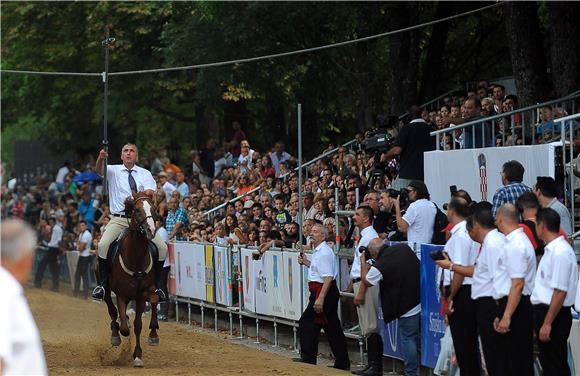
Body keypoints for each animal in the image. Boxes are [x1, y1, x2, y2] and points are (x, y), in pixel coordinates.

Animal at [103, 192, 160, 366]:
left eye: (154, 209)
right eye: (136, 210)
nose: (150, 230)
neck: (136, 258)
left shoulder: (142, 294)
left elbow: (138, 324)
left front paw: (139, 354)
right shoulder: (121, 294)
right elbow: (124, 327)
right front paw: (120, 331)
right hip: (107, 289)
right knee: (111, 308)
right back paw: (115, 334)